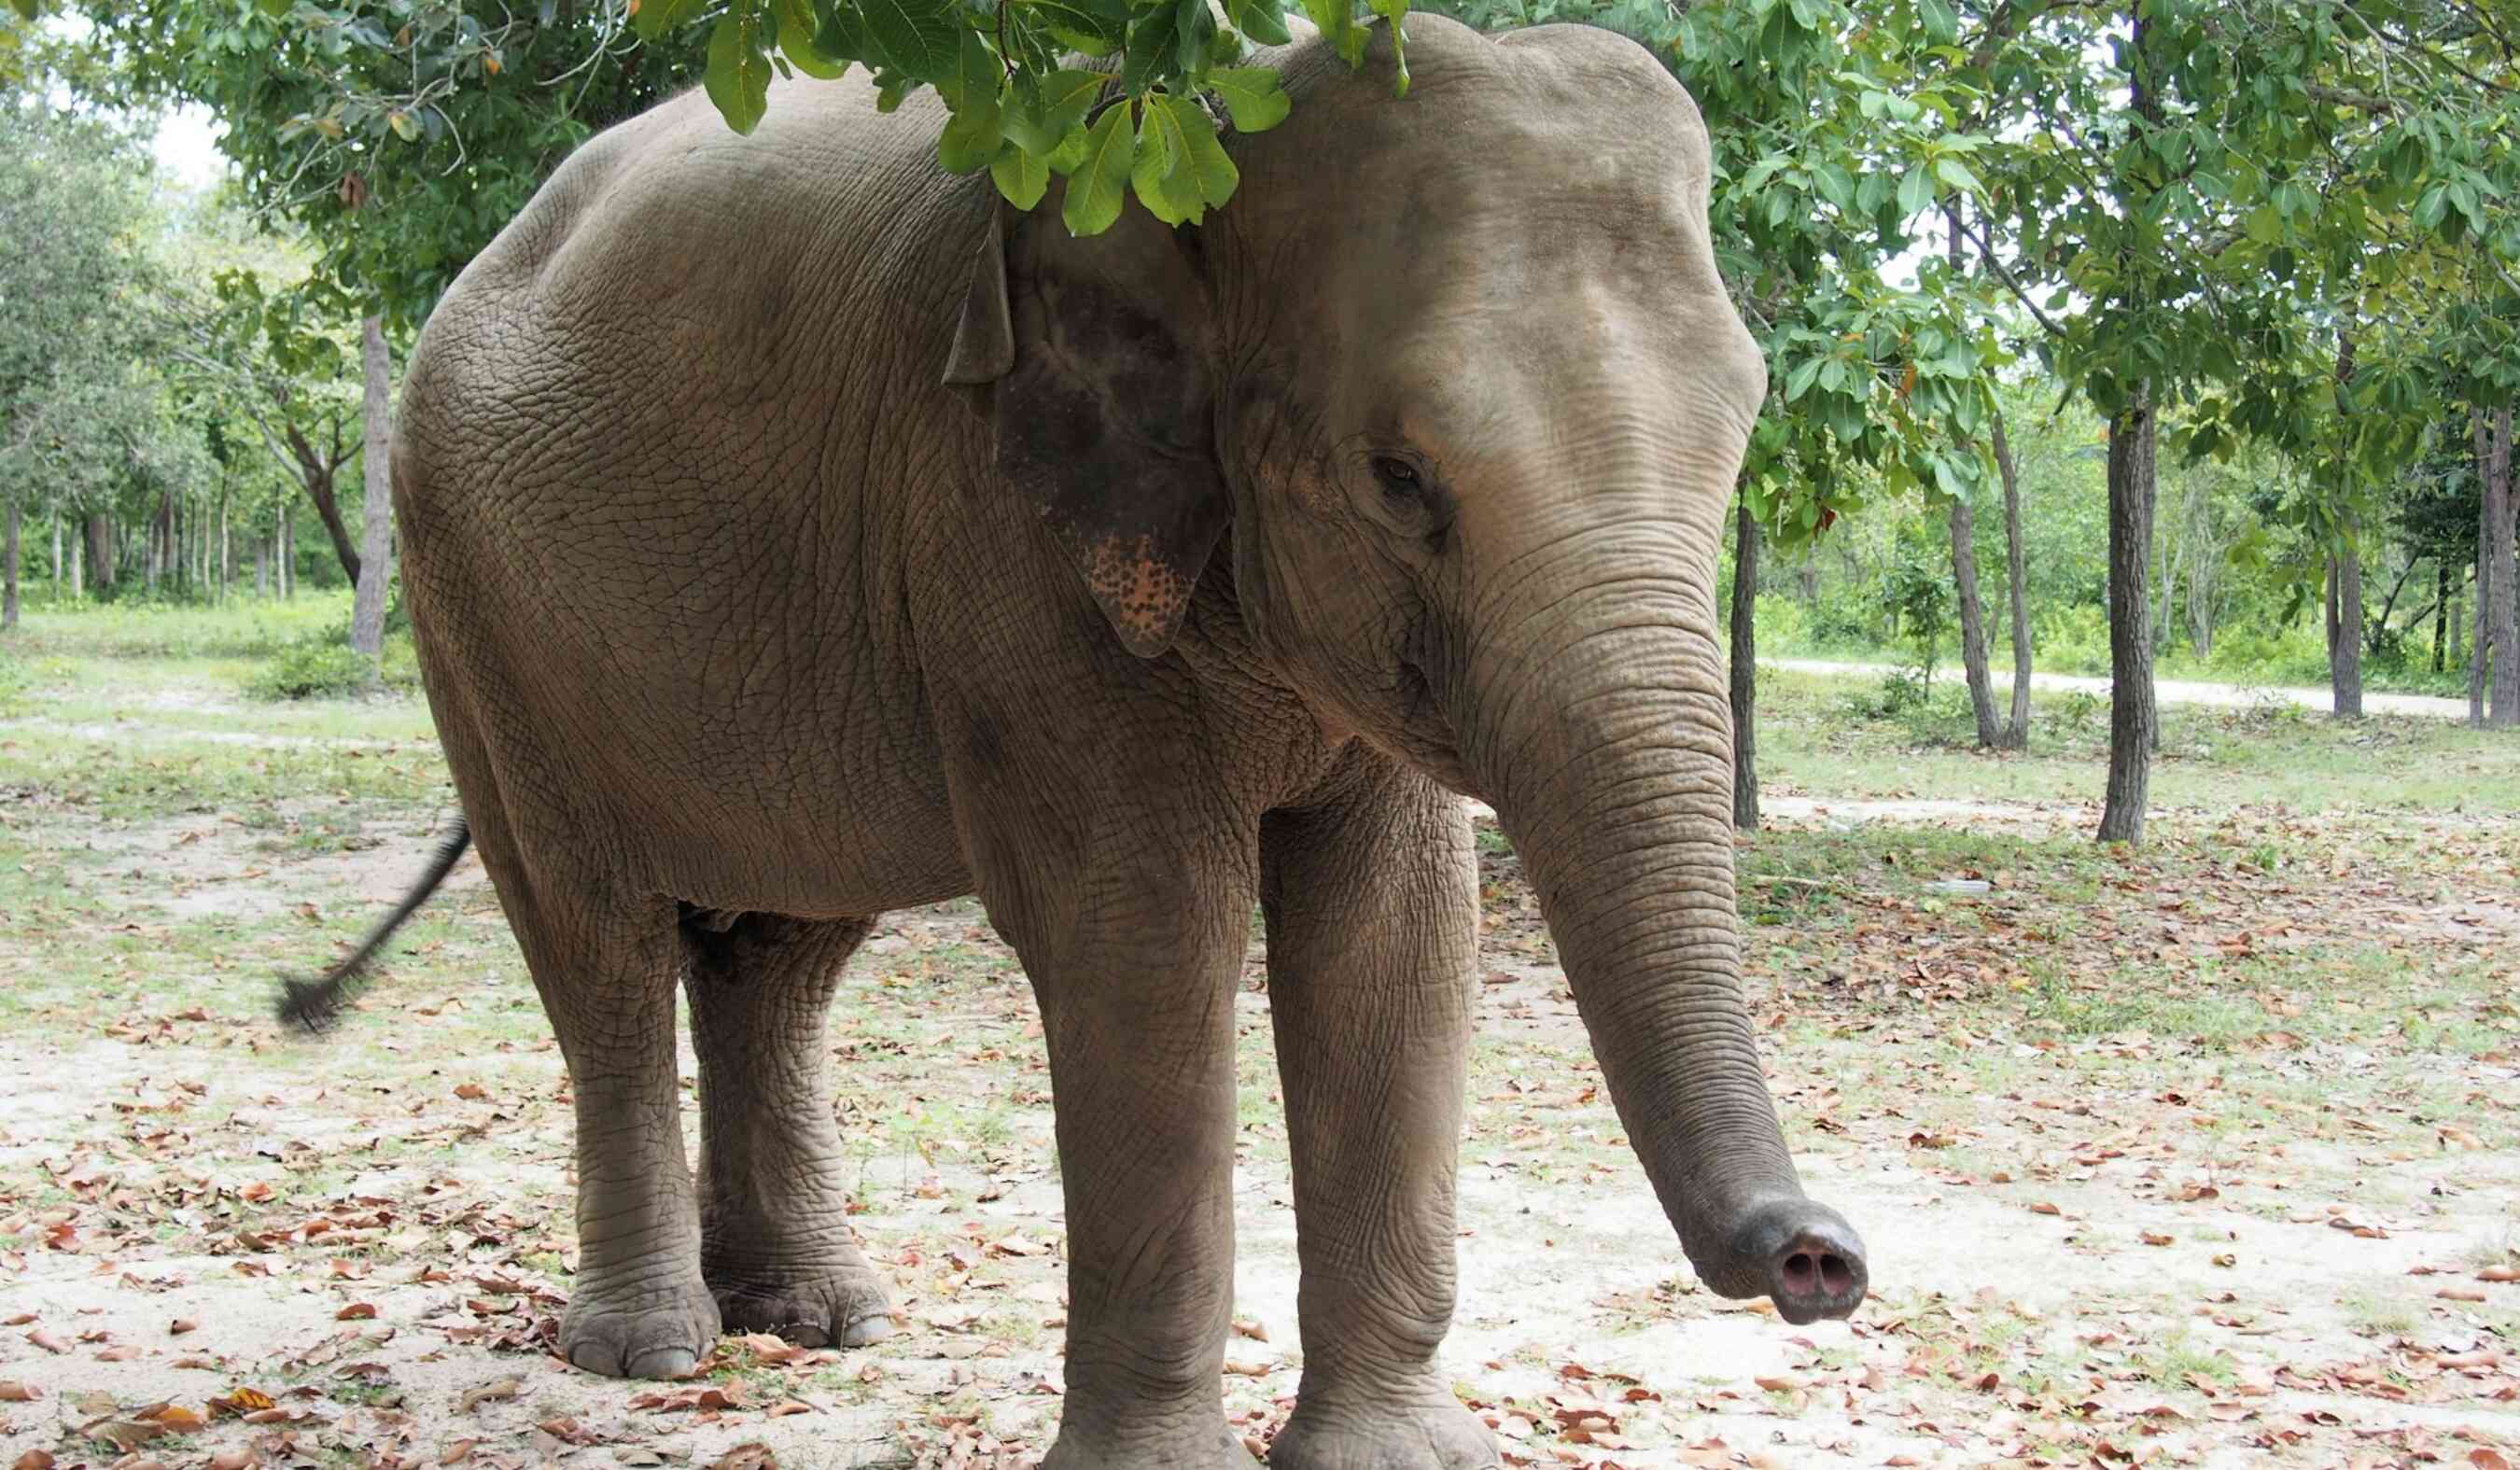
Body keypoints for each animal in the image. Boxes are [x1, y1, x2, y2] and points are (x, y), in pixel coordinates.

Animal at [289, 14, 1874, 1470]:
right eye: (1400, 476)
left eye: (1745, 430)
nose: (1821, 1259)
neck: (1223, 119)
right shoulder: (998, 522)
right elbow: (1147, 935)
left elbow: (1396, 940)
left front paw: (1389, 1460)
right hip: (476, 610)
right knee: (598, 938)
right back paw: (652, 1349)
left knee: (779, 950)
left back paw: (815, 1317)